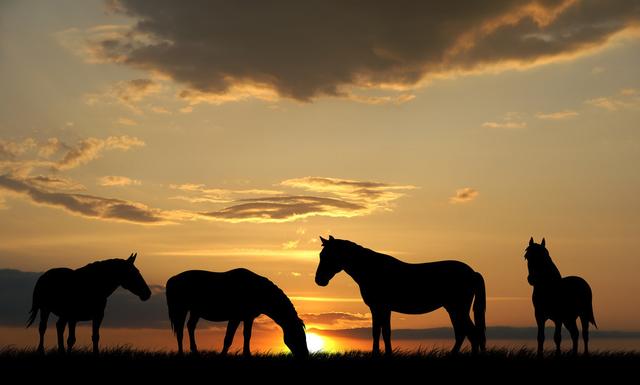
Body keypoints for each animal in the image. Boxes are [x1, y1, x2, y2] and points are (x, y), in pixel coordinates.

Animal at [166, 268, 308, 356]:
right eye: (299, 335)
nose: (305, 355)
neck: (258, 291)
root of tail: (173, 279)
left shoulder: (248, 318)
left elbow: (247, 335)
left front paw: (247, 354)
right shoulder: (235, 318)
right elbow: (228, 338)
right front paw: (223, 355)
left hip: (195, 311)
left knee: (190, 327)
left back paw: (194, 351)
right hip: (181, 309)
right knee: (180, 331)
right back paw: (181, 353)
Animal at [316, 236, 484, 356]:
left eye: (327, 256)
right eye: (321, 255)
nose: (319, 280)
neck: (371, 269)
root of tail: (472, 272)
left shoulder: (380, 307)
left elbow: (381, 332)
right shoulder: (380, 309)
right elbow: (381, 332)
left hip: (458, 309)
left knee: (471, 333)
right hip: (453, 309)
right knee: (463, 333)